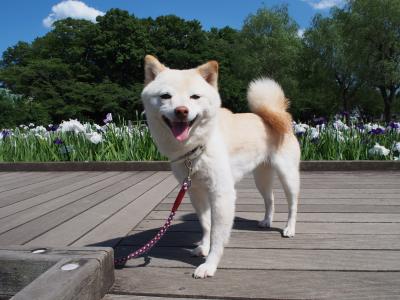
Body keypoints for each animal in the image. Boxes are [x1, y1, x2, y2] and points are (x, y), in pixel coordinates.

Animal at [141, 55, 300, 278]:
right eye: (165, 96)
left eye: (195, 97)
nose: (181, 111)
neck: (197, 147)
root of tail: (275, 115)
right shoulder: (196, 191)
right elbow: (206, 225)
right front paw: (203, 248)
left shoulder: (221, 193)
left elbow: (217, 234)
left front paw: (209, 264)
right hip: (261, 178)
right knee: (270, 199)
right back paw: (266, 221)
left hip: (288, 175)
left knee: (292, 204)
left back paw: (289, 229)